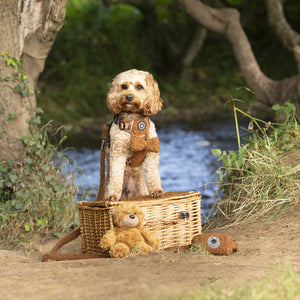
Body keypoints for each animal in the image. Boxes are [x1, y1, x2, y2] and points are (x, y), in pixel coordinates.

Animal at [103, 69, 164, 203]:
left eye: (139, 87)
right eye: (124, 86)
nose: (129, 97)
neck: (134, 122)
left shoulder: (151, 150)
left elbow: (153, 173)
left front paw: (157, 191)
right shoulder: (118, 151)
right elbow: (116, 175)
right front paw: (112, 195)